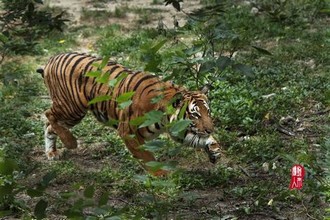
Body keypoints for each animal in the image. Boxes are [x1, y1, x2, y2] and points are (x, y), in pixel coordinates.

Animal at [36, 52, 222, 176]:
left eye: (207, 112)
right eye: (195, 115)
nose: (210, 129)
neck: (164, 116)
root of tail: (51, 60)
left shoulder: (177, 129)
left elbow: (198, 139)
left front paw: (214, 149)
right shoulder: (129, 132)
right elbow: (147, 157)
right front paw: (161, 176)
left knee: (49, 125)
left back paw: (52, 153)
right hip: (73, 108)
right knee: (48, 114)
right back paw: (70, 142)